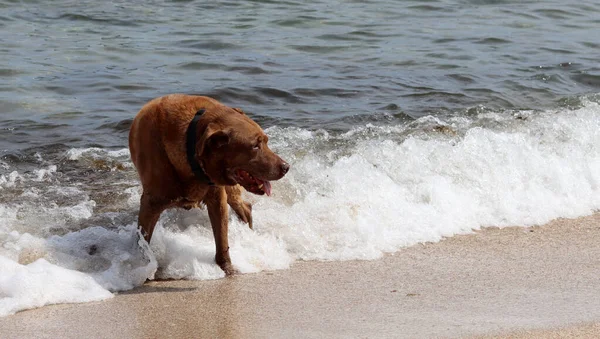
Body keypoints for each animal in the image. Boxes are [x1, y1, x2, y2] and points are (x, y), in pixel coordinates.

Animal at [129, 94, 290, 274]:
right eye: (255, 146)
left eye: (267, 141)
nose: (286, 167)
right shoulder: (150, 204)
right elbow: (143, 241)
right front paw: (144, 265)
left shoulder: (217, 196)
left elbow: (222, 238)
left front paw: (226, 266)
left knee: (243, 207)